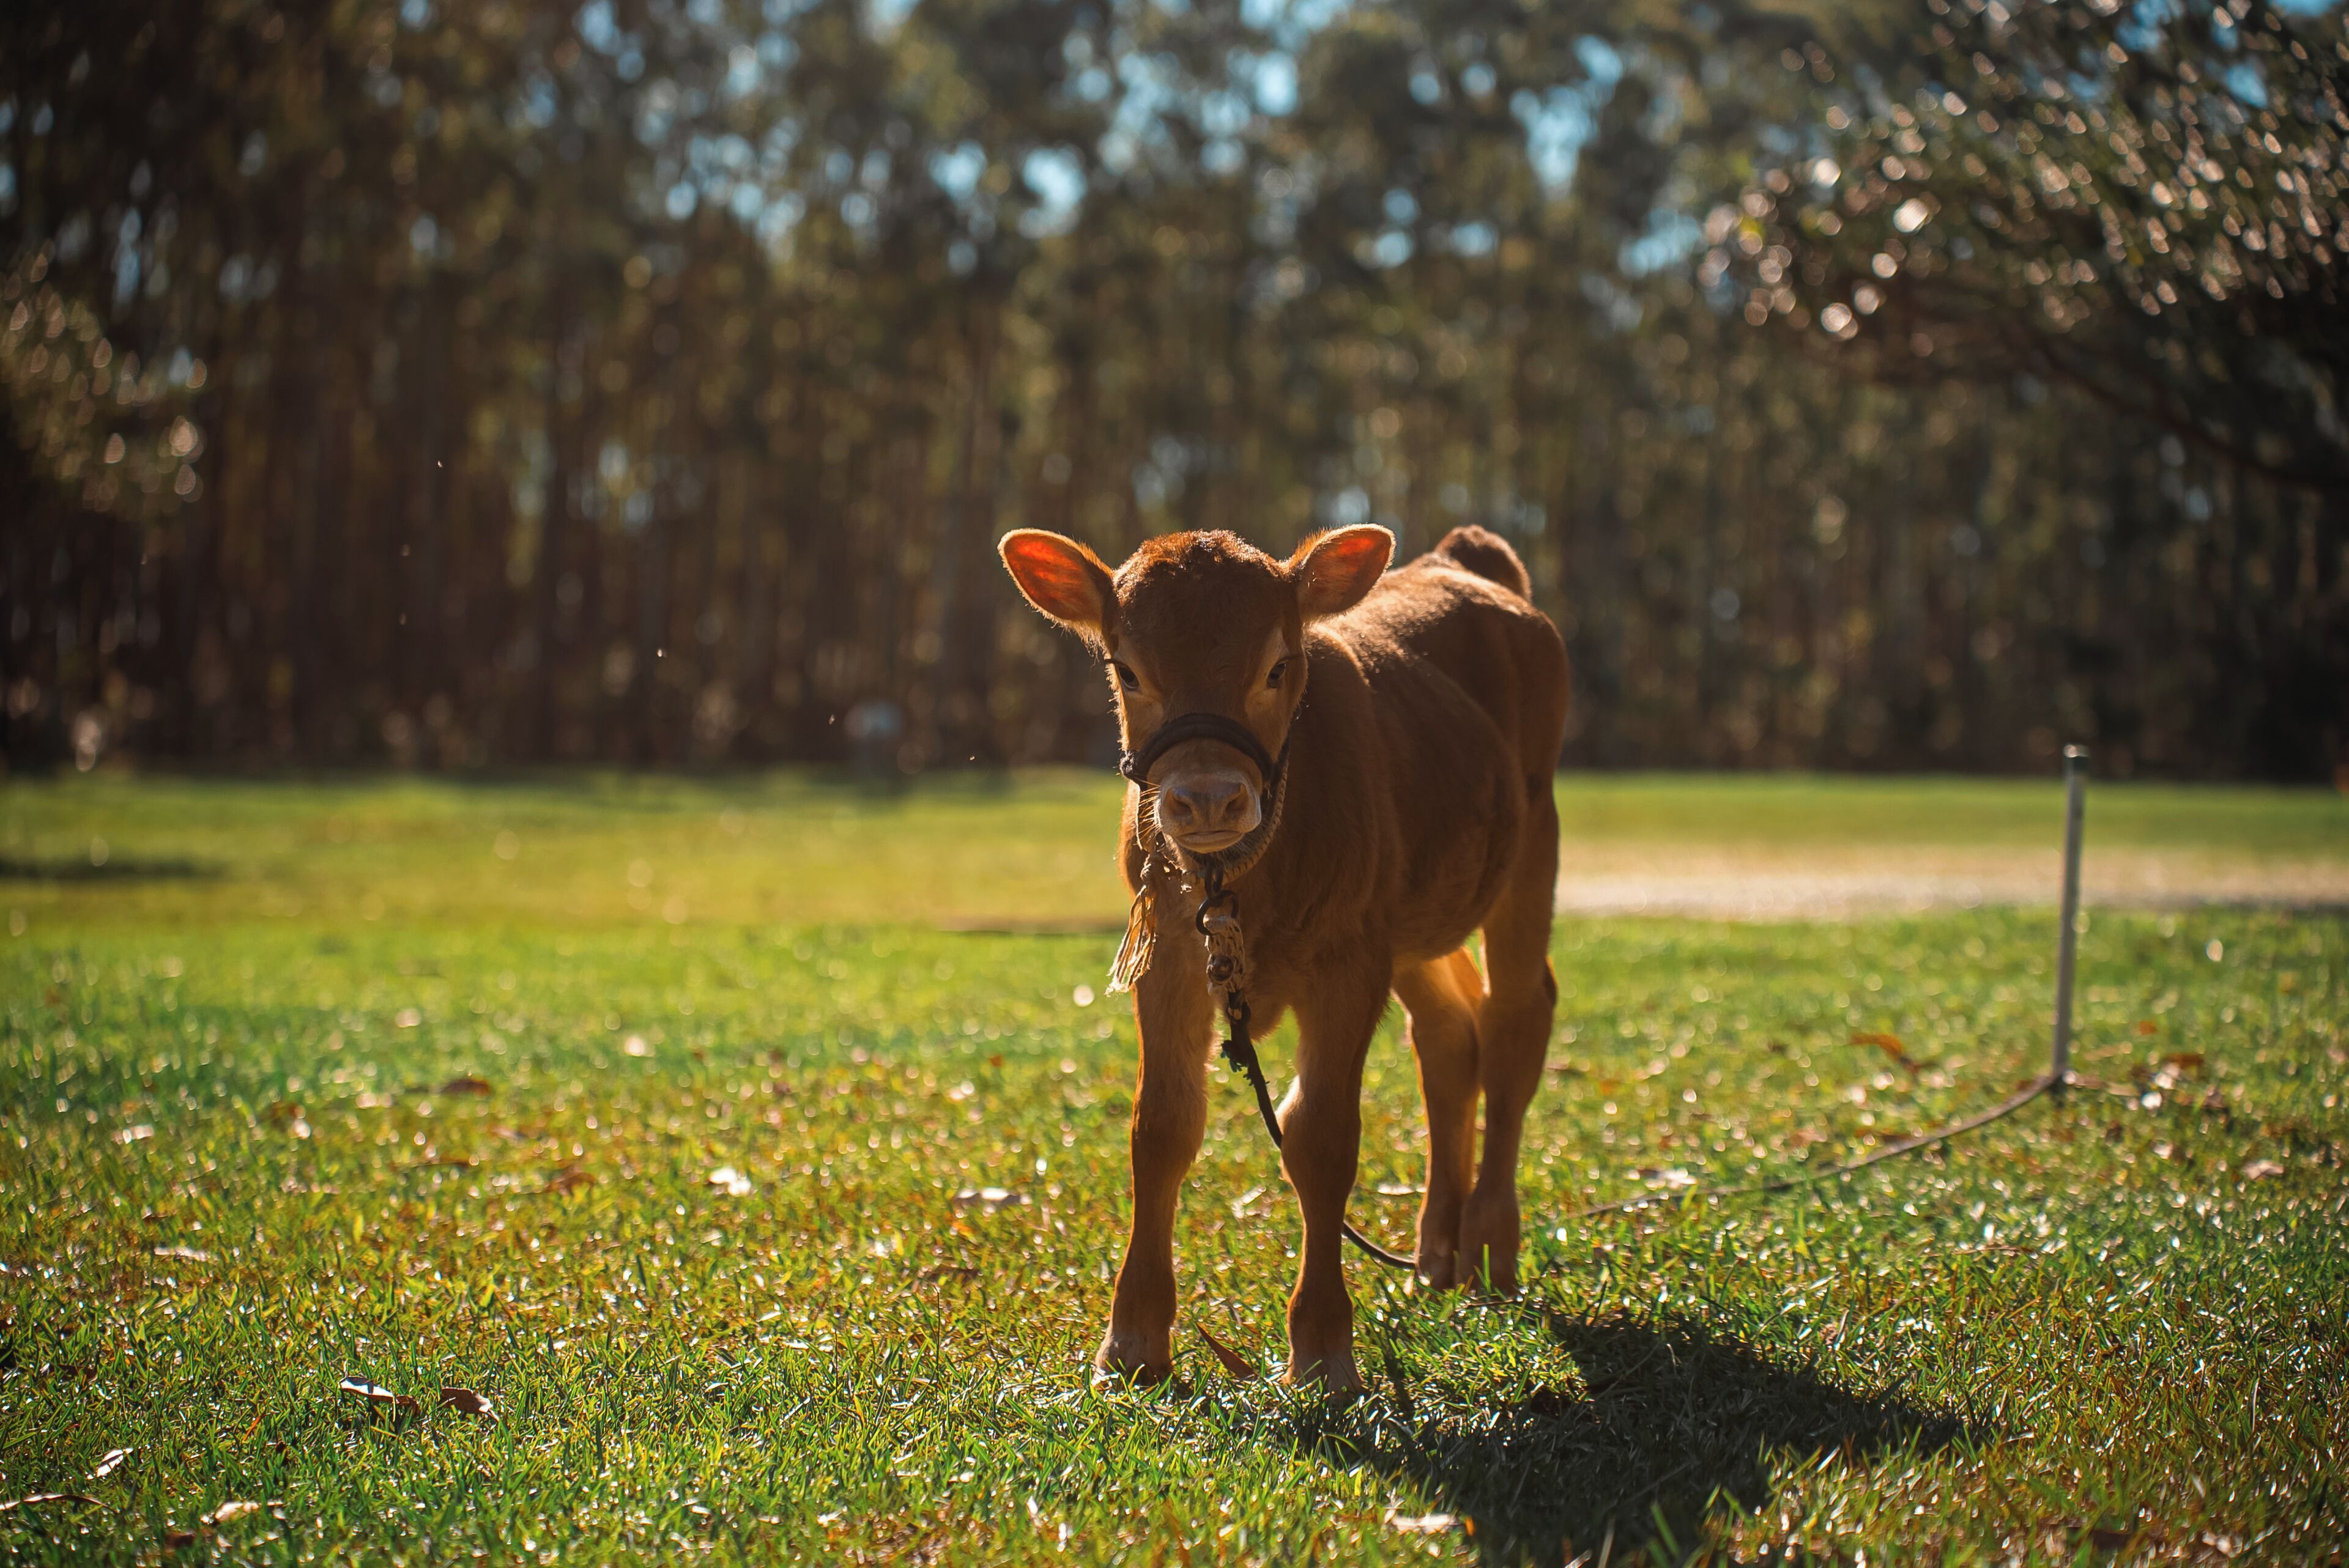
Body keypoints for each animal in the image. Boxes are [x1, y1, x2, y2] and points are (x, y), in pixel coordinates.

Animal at [998, 521, 1569, 1390]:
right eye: (1127, 670)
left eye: (1277, 666)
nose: (1206, 797)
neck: (1236, 886)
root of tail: (1463, 561)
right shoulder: (1170, 956)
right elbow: (1162, 1125)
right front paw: (1132, 1340)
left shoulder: (1348, 961)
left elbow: (1321, 1136)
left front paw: (1324, 1345)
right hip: (1414, 920)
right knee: (1449, 1035)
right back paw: (1437, 1253)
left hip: (1532, 846)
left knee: (1514, 1021)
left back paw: (1489, 1245)